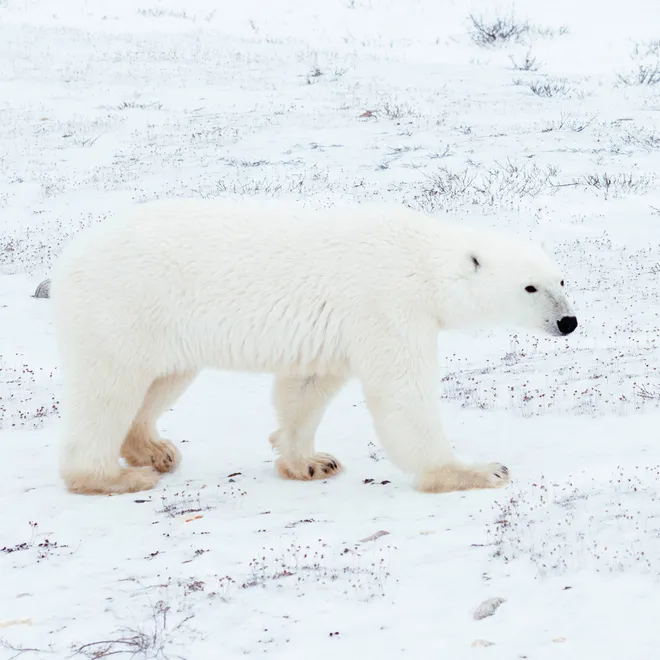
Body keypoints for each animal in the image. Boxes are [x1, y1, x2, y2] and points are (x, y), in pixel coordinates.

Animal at [50, 198, 577, 496]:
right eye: (530, 287)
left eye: (561, 279)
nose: (568, 322)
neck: (423, 262)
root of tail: (70, 257)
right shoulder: (387, 305)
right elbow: (402, 395)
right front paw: (475, 471)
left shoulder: (337, 330)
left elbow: (306, 387)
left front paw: (309, 461)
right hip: (124, 308)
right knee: (109, 390)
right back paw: (110, 477)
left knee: (163, 377)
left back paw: (153, 450)